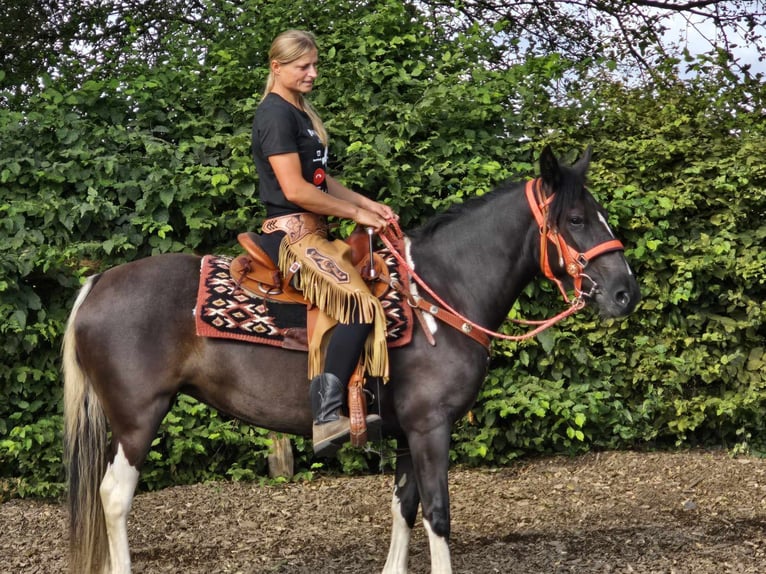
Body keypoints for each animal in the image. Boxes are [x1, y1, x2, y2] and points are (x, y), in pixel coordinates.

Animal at [64, 146, 640, 572]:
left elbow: (404, 507)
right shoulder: (431, 427)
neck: (440, 293)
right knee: (114, 496)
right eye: (575, 218)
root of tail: (97, 284)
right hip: (137, 418)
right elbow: (437, 513)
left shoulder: (408, 431)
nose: (625, 294)